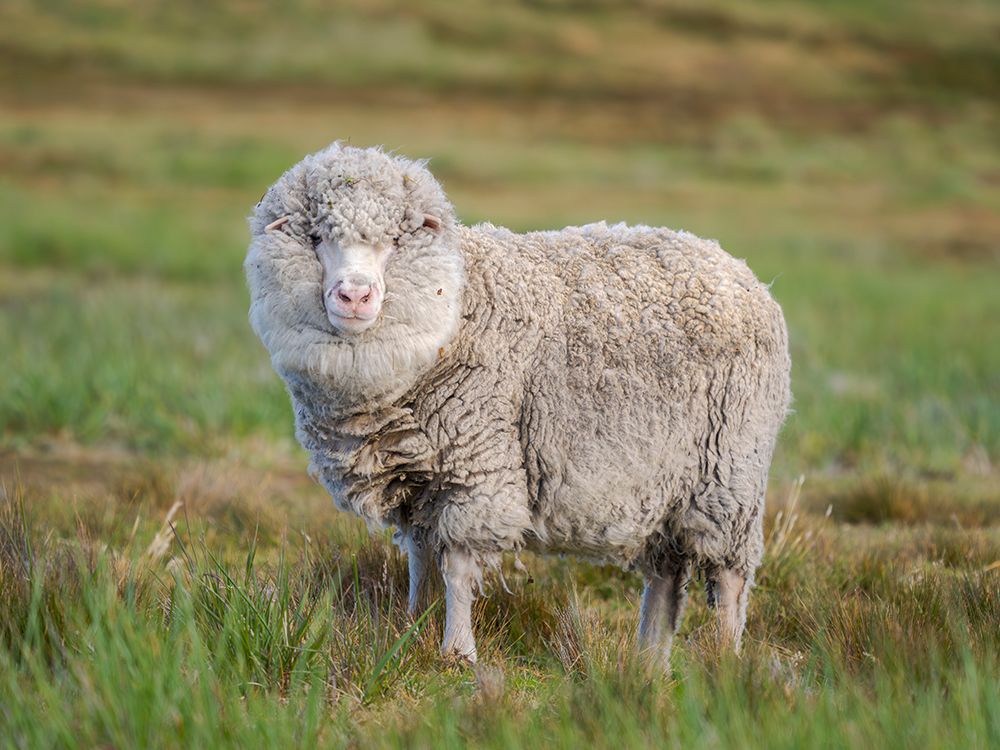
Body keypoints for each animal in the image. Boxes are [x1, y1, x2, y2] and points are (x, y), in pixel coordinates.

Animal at [245, 142, 791, 668]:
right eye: (316, 238)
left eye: (395, 242)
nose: (354, 296)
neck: (458, 307)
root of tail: (742, 273)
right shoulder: (417, 482)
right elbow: (420, 562)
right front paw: (412, 631)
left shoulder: (476, 469)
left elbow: (457, 567)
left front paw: (457, 653)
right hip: (666, 484)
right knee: (667, 575)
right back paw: (648, 662)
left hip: (729, 474)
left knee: (728, 577)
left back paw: (723, 660)